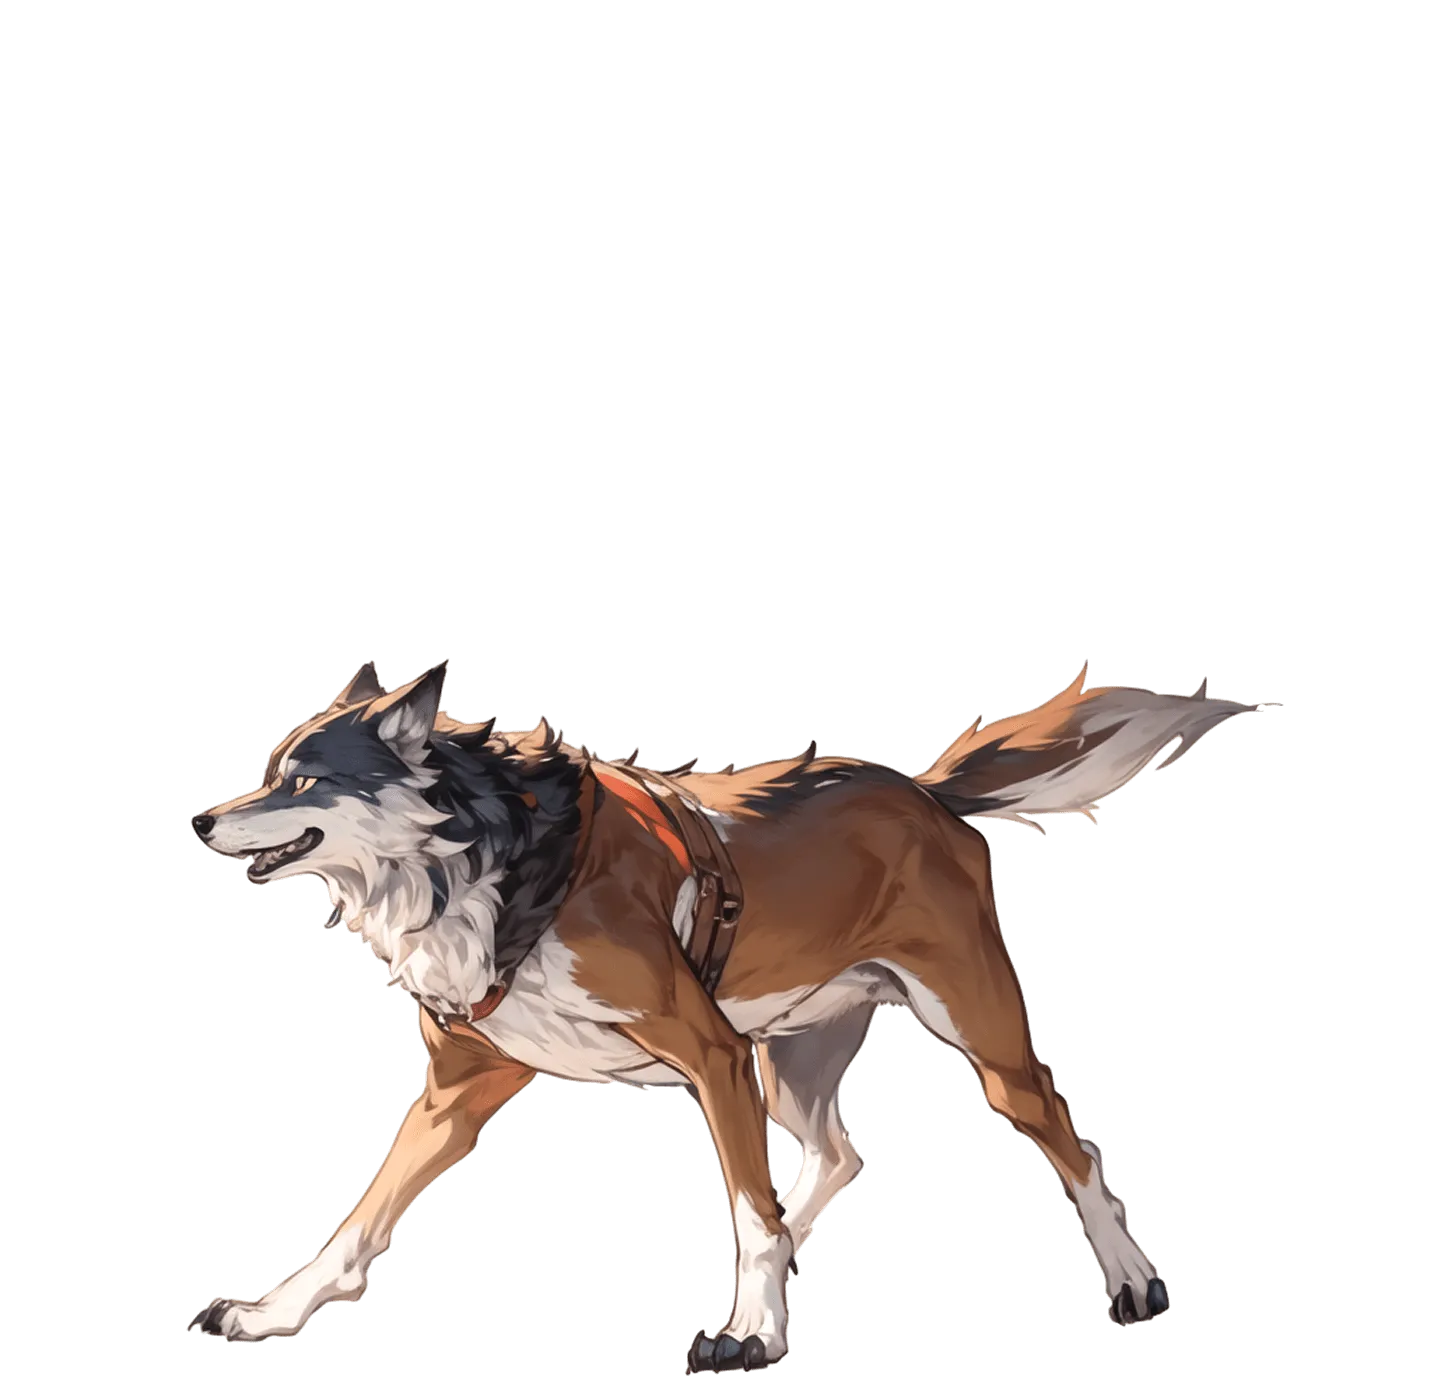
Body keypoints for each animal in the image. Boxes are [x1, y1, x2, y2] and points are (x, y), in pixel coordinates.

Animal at [187, 660, 1280, 1367]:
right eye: (269, 766)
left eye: (303, 776)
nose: (199, 819)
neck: (491, 858)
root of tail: (925, 789)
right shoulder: (460, 1088)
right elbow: (362, 1215)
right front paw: (275, 1312)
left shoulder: (709, 1050)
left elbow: (746, 1208)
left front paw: (752, 1333)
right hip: (786, 1060)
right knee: (841, 1153)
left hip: (970, 1034)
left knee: (1060, 1131)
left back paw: (1132, 1280)